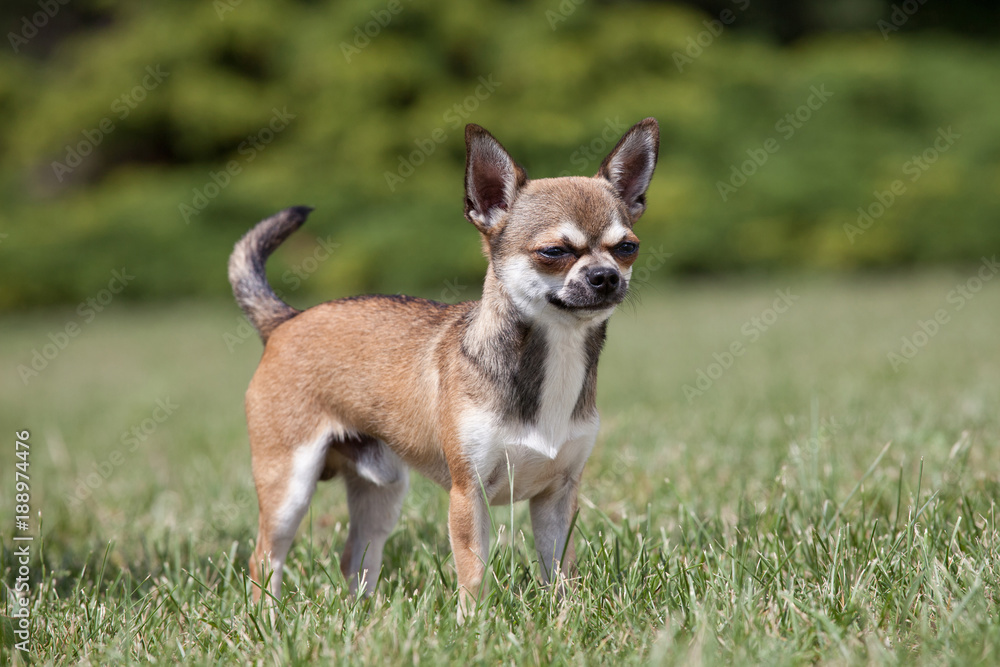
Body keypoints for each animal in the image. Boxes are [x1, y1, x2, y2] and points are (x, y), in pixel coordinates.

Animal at [230, 117, 660, 624]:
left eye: (627, 248)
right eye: (554, 252)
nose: (606, 276)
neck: (553, 355)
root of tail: (284, 320)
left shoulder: (557, 498)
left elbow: (560, 570)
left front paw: (566, 618)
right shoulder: (468, 494)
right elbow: (473, 571)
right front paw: (474, 625)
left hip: (382, 491)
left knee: (356, 555)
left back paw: (365, 616)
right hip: (289, 488)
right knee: (264, 558)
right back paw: (267, 619)